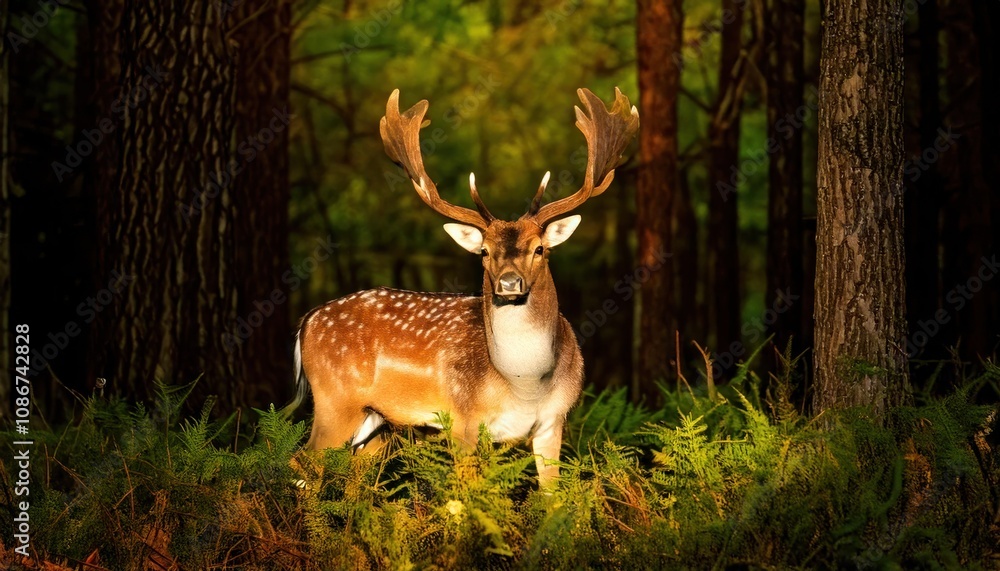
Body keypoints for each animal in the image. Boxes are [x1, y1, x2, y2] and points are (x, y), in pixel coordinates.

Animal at [288, 87, 639, 487]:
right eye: (484, 251)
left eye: (540, 248)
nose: (509, 283)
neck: (525, 387)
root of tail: (307, 321)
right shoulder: (462, 420)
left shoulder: (555, 420)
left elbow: (552, 496)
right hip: (334, 400)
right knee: (302, 463)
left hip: (376, 421)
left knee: (357, 473)